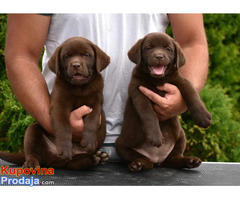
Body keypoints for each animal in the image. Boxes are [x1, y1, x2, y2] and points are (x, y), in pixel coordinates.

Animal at [115, 32, 211, 172]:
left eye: (168, 49)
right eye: (149, 48)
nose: (159, 56)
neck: (157, 80)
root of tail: (158, 160)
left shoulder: (181, 81)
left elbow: (192, 95)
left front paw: (203, 117)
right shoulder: (139, 93)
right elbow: (149, 115)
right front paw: (155, 136)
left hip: (181, 136)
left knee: (174, 159)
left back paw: (190, 161)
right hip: (121, 144)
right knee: (144, 160)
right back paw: (139, 164)